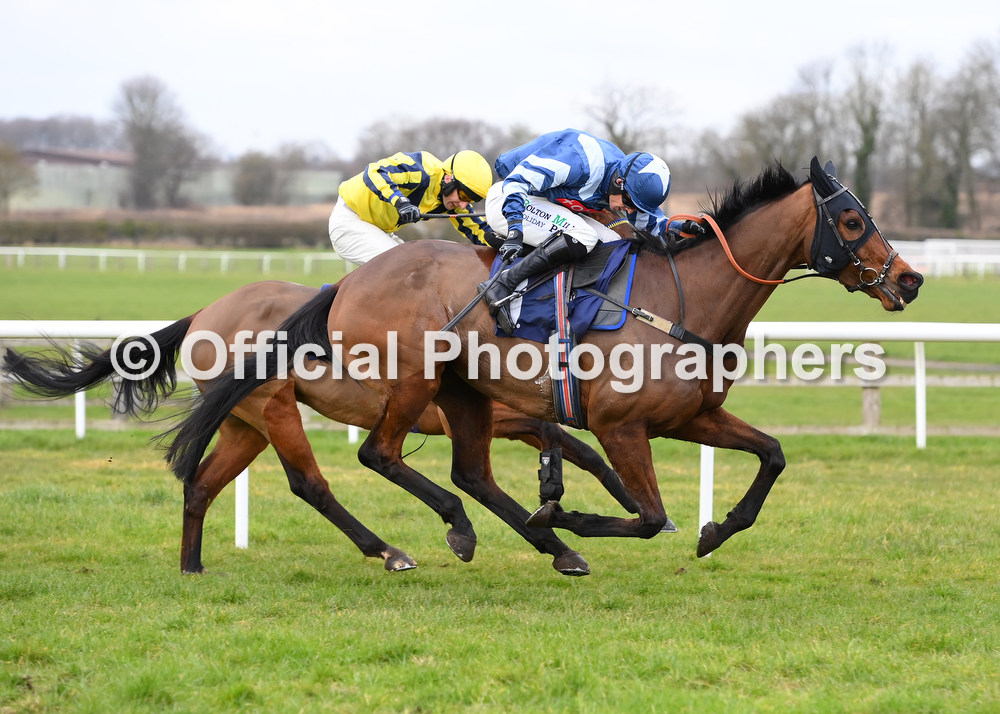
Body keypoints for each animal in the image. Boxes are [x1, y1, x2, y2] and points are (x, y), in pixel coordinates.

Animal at [5, 278, 632, 572]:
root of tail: (204, 312)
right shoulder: (485, 414)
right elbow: (555, 441)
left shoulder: (505, 416)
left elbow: (575, 446)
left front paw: (606, 500)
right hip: (274, 409)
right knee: (310, 484)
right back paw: (388, 550)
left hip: (244, 424)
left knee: (202, 484)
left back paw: (192, 567)